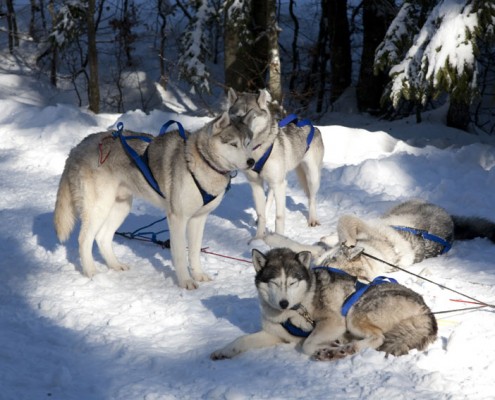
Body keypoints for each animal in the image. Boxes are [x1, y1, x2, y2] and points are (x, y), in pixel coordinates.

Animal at [210, 248, 438, 360]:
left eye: (291, 282)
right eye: (274, 282)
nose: (284, 303)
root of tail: (426, 311)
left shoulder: (333, 323)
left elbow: (308, 344)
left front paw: (328, 347)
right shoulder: (274, 334)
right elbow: (242, 340)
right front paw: (224, 350)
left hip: (354, 314)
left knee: (377, 338)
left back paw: (344, 349)